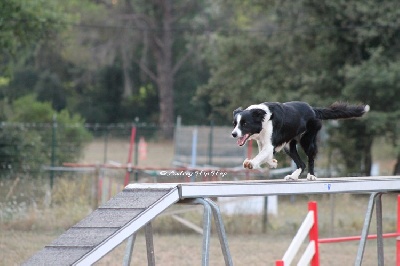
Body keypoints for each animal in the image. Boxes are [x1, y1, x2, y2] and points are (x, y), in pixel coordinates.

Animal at [233, 102, 370, 181]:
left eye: (244, 124)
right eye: (235, 124)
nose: (233, 134)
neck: (262, 118)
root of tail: (313, 110)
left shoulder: (270, 143)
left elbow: (262, 155)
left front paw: (251, 163)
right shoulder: (263, 142)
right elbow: (265, 155)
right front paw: (273, 163)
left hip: (307, 140)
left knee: (310, 159)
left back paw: (311, 176)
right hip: (289, 147)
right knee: (301, 164)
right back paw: (293, 176)